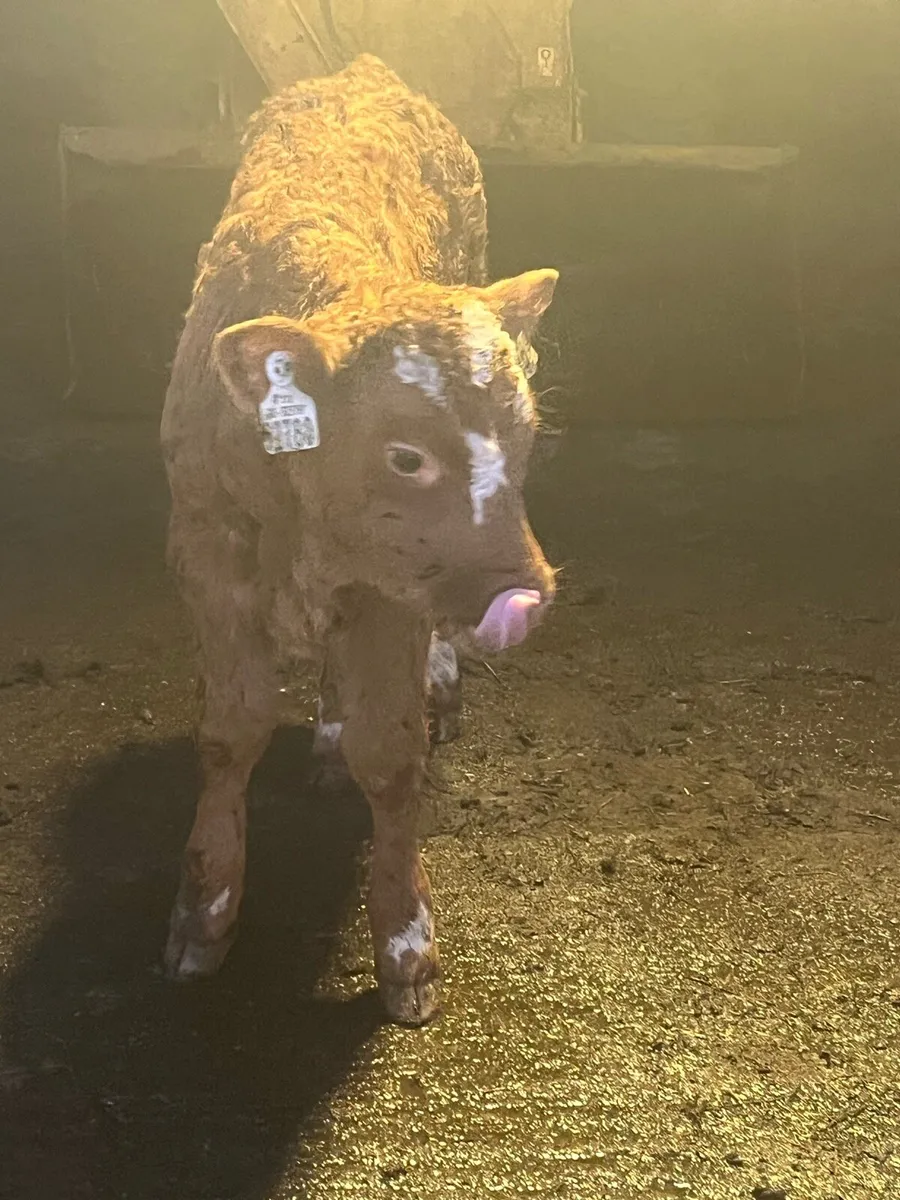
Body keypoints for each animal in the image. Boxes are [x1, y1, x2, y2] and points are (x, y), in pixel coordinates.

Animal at [160, 54, 558, 1025]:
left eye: (529, 435)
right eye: (406, 455)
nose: (523, 594)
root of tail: (361, 71)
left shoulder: (395, 591)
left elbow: (392, 753)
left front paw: (406, 945)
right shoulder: (206, 553)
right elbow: (229, 731)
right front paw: (203, 914)